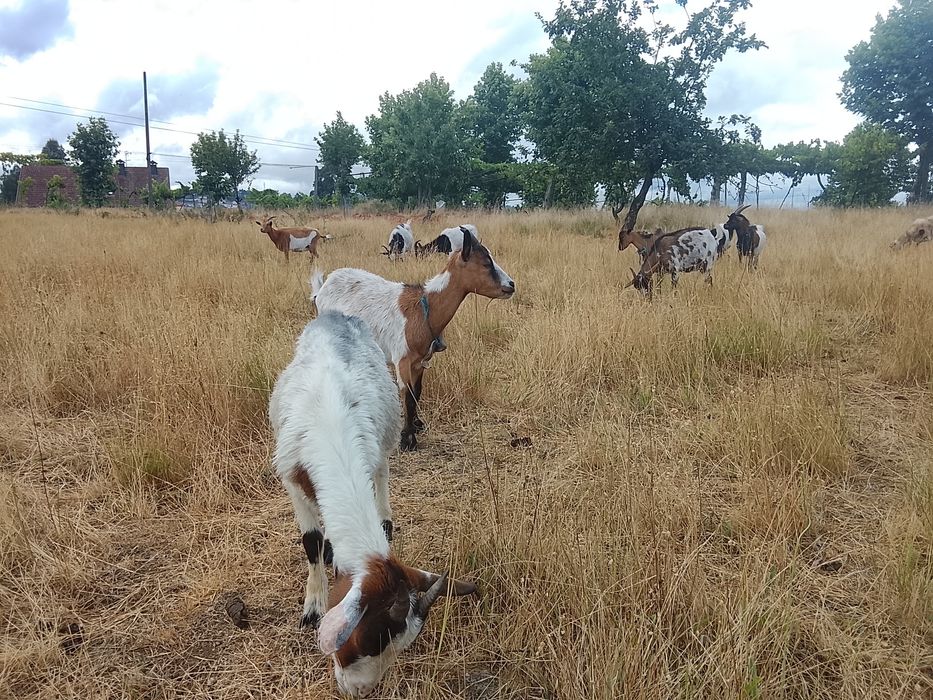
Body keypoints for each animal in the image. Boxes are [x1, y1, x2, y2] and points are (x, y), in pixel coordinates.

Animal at [270, 310, 477, 697]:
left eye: (401, 645)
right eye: (365, 638)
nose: (359, 690)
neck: (330, 422)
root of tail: (336, 315)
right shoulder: (292, 476)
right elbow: (310, 541)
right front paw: (313, 606)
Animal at [312, 229, 514, 451]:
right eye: (486, 263)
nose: (511, 285)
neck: (425, 308)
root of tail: (324, 286)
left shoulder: (420, 361)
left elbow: (417, 392)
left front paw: (417, 424)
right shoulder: (403, 359)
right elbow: (407, 396)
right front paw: (407, 439)